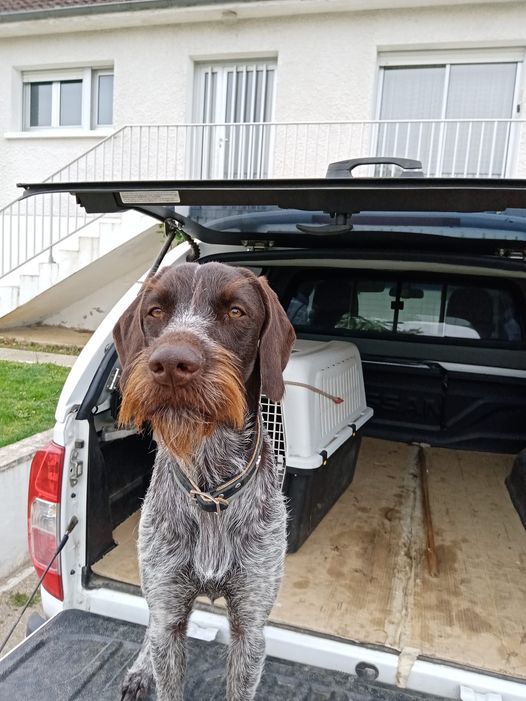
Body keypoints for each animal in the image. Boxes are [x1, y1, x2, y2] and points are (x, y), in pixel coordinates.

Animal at [115, 262, 296, 700]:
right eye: (155, 311)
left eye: (236, 311)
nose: (170, 364)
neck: (211, 484)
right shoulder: (168, 609)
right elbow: (162, 645)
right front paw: (145, 671)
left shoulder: (250, 627)